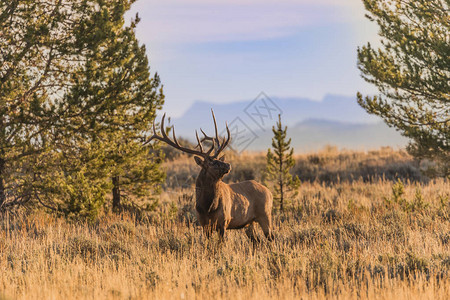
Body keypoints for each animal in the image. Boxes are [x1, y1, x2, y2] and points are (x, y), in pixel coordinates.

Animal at [148, 110, 274, 241]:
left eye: (219, 159)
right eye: (212, 163)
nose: (228, 164)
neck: (207, 207)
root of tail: (269, 192)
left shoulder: (223, 222)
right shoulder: (204, 224)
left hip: (265, 214)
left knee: (271, 238)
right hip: (250, 223)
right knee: (258, 241)